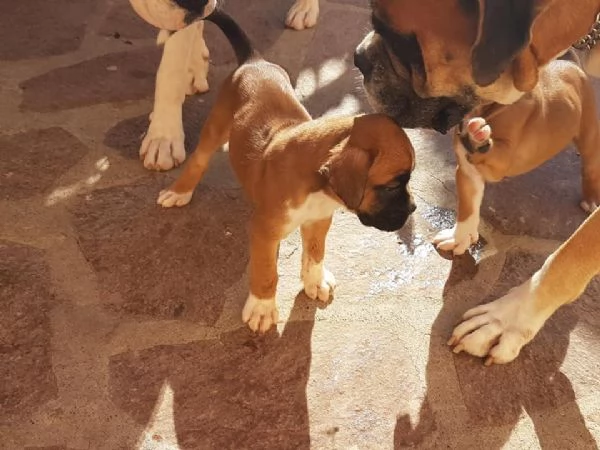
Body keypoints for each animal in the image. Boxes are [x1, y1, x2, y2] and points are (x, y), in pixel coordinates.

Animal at [157, 8, 414, 332]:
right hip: (216, 127)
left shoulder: (318, 220)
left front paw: (315, 280)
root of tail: (254, 60)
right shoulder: (264, 232)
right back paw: (179, 192)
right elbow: (267, 271)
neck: (317, 185)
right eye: (393, 185)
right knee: (199, 160)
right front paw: (263, 308)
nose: (414, 208)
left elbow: (315, 252)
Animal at [352, 0, 600, 364]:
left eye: (401, 41)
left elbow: (566, 263)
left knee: (591, 165)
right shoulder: (467, 172)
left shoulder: (503, 160)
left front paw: (505, 321)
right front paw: (461, 237)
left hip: (589, 138)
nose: (359, 57)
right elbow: (468, 203)